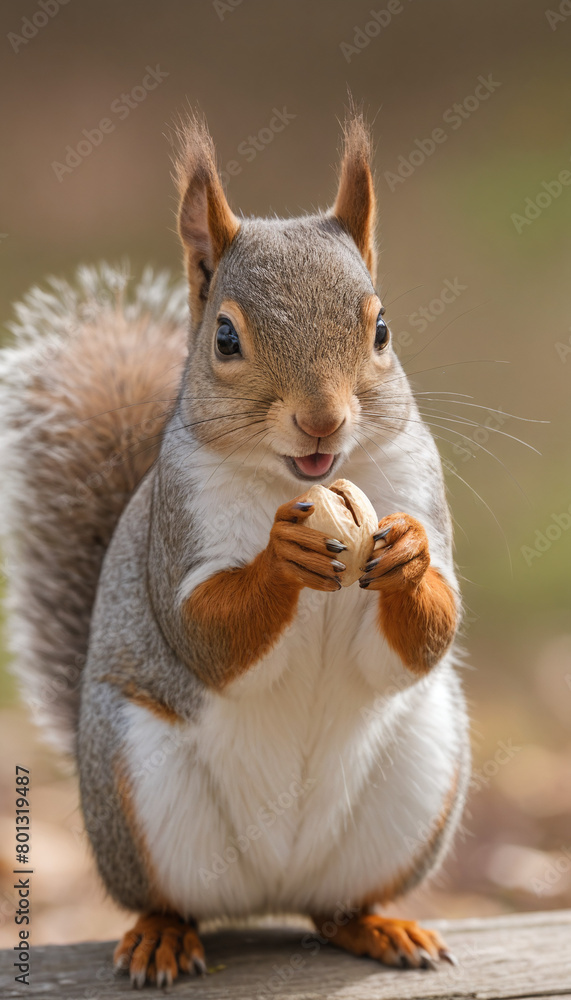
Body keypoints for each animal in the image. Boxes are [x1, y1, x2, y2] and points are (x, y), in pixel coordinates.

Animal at [0, 112, 470, 986]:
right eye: (224, 337)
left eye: (381, 329)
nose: (321, 420)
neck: (294, 477)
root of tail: (268, 889)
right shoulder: (181, 526)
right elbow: (207, 634)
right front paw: (281, 555)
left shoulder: (415, 481)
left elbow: (426, 634)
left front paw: (409, 555)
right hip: (135, 785)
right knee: (167, 899)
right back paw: (160, 937)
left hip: (421, 775)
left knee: (337, 907)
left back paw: (380, 927)